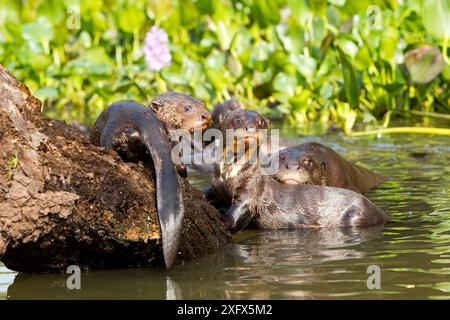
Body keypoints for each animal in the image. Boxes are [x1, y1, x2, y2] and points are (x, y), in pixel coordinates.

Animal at [211, 110, 390, 232]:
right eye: (237, 120)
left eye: (260, 123)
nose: (251, 127)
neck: (229, 175)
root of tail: (383, 213)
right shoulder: (216, 185)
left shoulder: (251, 187)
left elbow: (241, 209)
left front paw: (224, 219)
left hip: (357, 215)